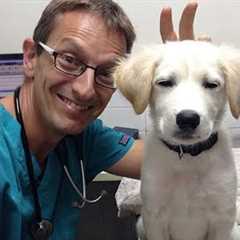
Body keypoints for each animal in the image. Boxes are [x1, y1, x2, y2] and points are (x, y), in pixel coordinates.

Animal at [113, 40, 240, 240]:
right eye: (165, 83)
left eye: (212, 84)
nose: (188, 118)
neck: (187, 158)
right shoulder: (154, 217)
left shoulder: (222, 218)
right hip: (141, 225)